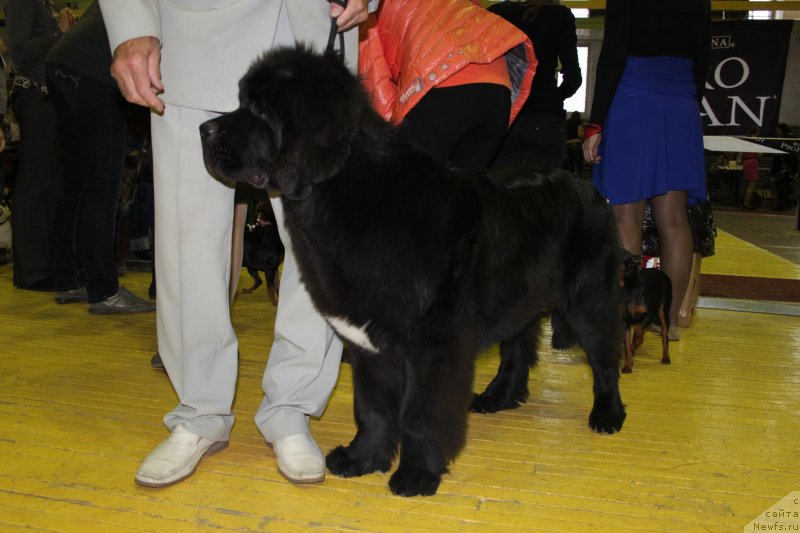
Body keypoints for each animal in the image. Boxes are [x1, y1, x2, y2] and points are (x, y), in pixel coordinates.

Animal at [200, 44, 624, 494]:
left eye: (260, 110)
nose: (204, 129)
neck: (349, 194)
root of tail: (587, 186)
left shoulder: (433, 345)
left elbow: (420, 413)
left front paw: (417, 473)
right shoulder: (368, 339)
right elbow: (372, 408)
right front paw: (363, 458)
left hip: (588, 297)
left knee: (604, 357)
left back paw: (608, 415)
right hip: (518, 297)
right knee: (517, 350)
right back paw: (497, 398)